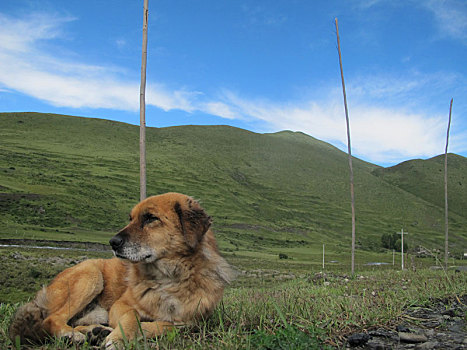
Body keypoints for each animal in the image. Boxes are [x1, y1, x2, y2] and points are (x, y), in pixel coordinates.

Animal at [10, 193, 238, 348]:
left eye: (150, 218)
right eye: (131, 219)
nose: (113, 242)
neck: (170, 277)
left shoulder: (191, 321)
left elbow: (165, 324)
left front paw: (125, 333)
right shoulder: (121, 305)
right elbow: (132, 318)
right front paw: (120, 336)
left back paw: (95, 331)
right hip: (91, 274)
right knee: (51, 320)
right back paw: (73, 335)